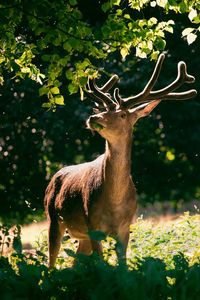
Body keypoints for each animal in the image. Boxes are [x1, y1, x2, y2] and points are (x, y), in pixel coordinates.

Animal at [44, 54, 197, 268]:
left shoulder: (125, 228)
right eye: (104, 110)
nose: (93, 117)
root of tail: (53, 177)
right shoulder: (93, 224)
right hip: (53, 218)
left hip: (80, 234)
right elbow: (101, 266)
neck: (114, 204)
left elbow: (122, 267)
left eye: (123, 114)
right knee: (51, 264)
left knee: (74, 263)